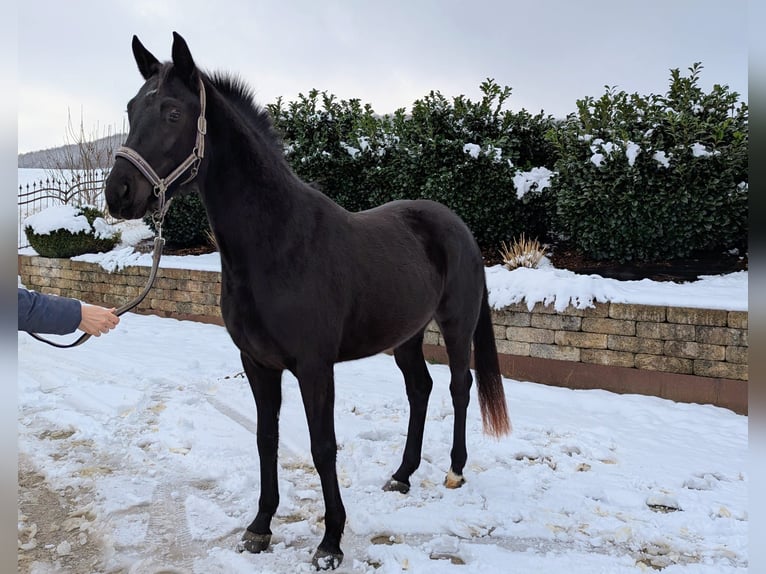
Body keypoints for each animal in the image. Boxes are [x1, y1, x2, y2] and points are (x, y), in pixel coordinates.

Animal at [102, 31, 510, 572]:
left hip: (456, 323)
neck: (278, 243)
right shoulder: (257, 364)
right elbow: (265, 440)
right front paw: (259, 528)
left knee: (459, 387)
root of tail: (456, 225)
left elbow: (322, 447)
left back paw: (455, 471)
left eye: (171, 112)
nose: (119, 193)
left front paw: (331, 541)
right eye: (131, 108)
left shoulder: (315, 368)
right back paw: (401, 475)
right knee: (419, 389)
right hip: (406, 335)